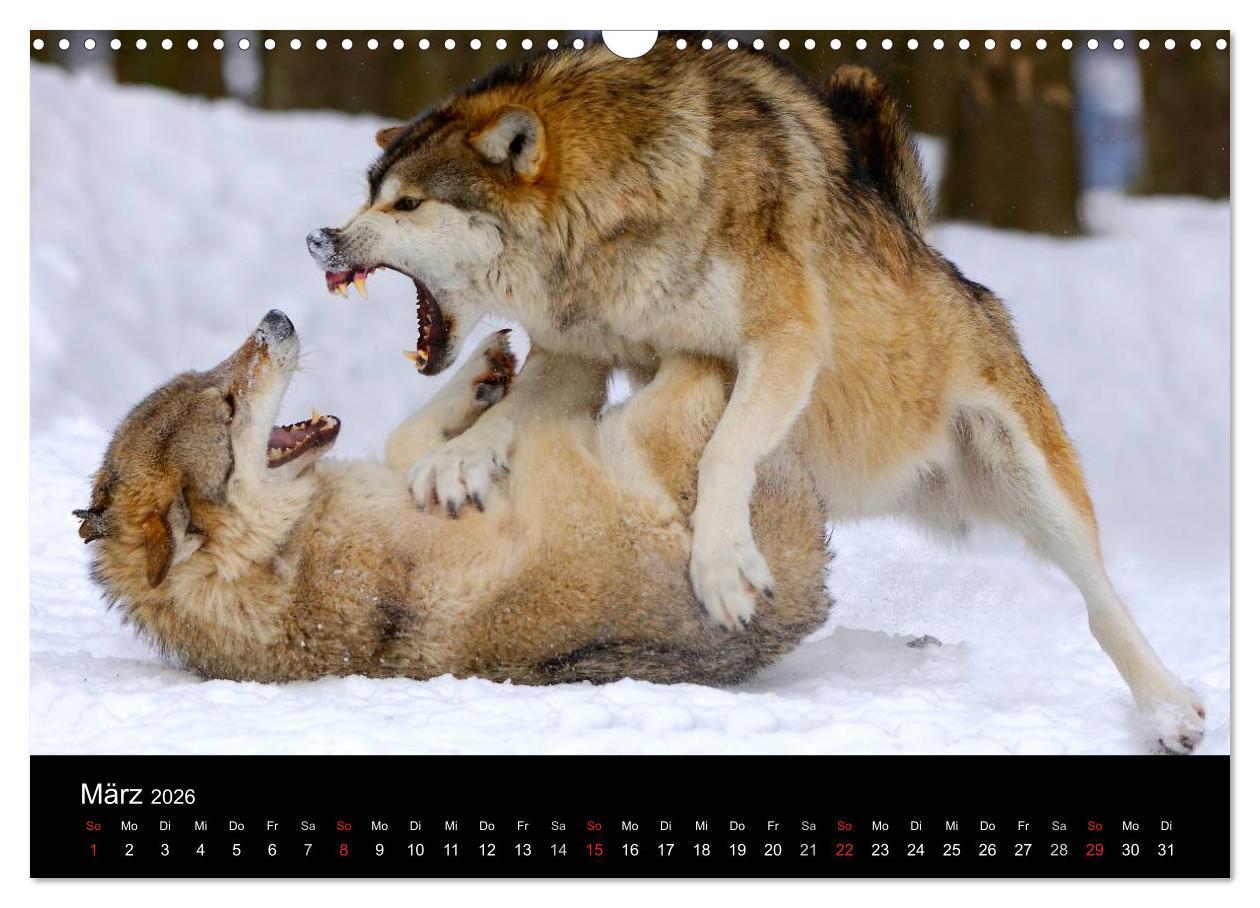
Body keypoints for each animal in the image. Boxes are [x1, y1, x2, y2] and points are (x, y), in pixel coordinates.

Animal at [73, 311, 831, 685]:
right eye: (228, 404)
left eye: (213, 378)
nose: (276, 317)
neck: (283, 548)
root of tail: (808, 589)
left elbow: (413, 440)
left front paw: (482, 380)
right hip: (631, 439)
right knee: (691, 367)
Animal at [305, 40, 1204, 749]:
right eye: (370, 193)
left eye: (406, 203)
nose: (321, 236)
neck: (622, 202)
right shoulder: (581, 351)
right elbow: (520, 413)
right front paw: (457, 462)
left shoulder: (784, 341)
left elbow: (727, 450)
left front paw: (723, 567)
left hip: (1033, 482)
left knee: (1100, 599)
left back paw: (1170, 710)